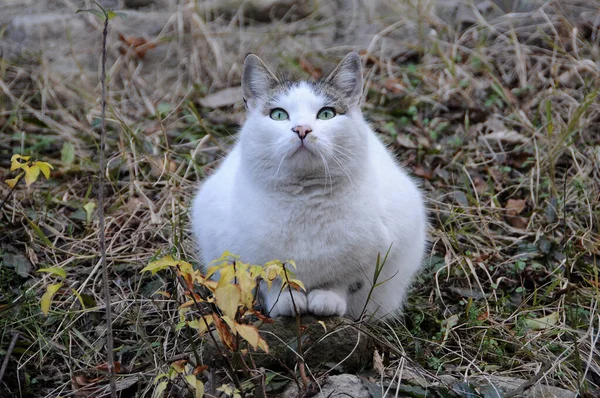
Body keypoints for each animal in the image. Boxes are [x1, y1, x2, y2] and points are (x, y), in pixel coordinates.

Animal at [190, 53, 428, 320]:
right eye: (279, 115)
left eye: (326, 114)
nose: (302, 129)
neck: (304, 200)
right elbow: (272, 282)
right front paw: (287, 302)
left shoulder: (372, 257)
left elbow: (341, 281)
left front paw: (326, 301)